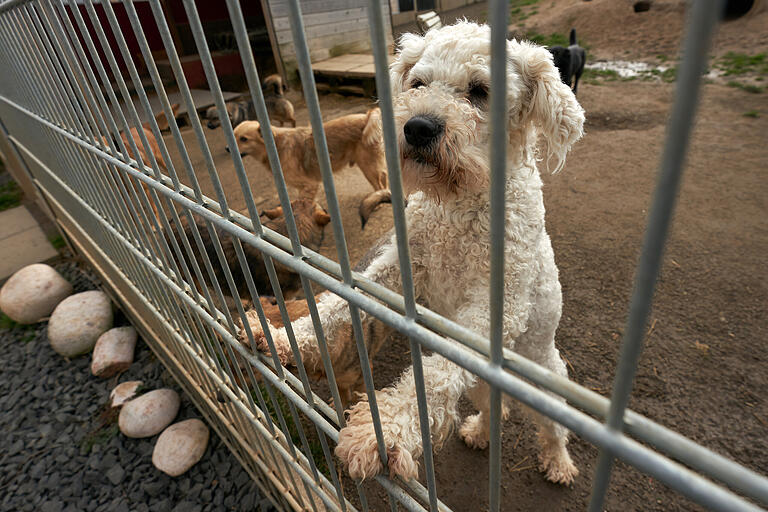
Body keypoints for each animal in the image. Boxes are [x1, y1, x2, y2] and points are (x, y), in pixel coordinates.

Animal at [232, 108, 390, 214]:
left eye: (244, 139)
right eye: (233, 136)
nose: (228, 148)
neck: (276, 145)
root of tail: (368, 116)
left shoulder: (309, 185)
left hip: (368, 167)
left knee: (379, 183)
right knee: (384, 178)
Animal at [249, 20, 584, 484]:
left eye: (480, 90)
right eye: (418, 82)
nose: (418, 128)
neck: (460, 205)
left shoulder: (497, 308)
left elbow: (437, 375)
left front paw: (383, 433)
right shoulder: (401, 266)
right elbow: (340, 301)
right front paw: (282, 337)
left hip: (546, 380)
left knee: (551, 429)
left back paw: (559, 464)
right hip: (481, 386)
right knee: (492, 409)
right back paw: (480, 433)